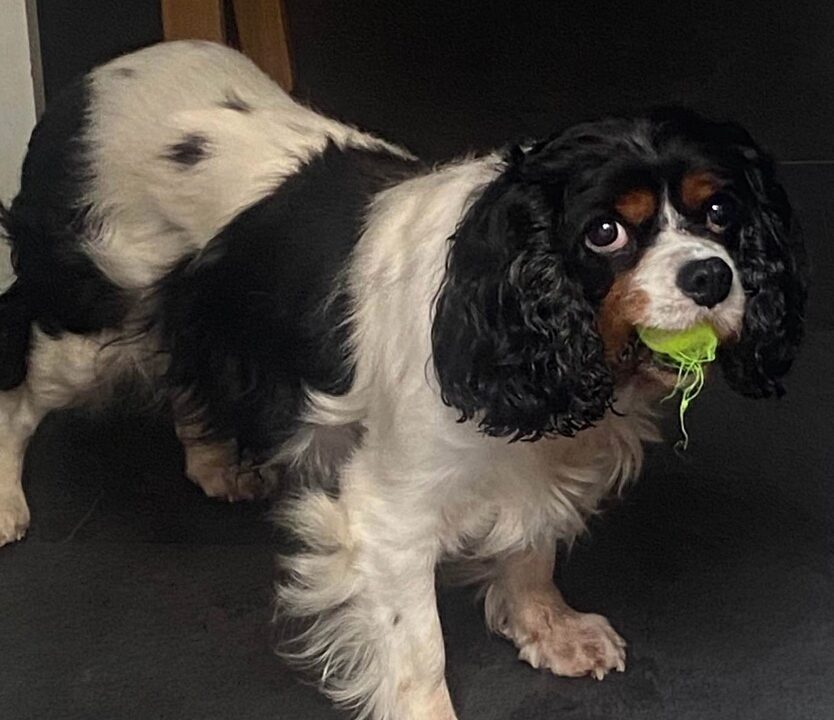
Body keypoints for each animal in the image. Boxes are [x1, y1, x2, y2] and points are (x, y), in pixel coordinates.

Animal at [0, 40, 808, 720]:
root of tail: (82, 85)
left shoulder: (537, 461)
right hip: (87, 327)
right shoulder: (389, 516)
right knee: (19, 396)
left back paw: (212, 463)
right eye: (604, 232)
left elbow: (532, 547)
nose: (711, 277)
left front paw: (549, 627)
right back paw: (7, 503)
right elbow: (419, 647)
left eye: (721, 211)